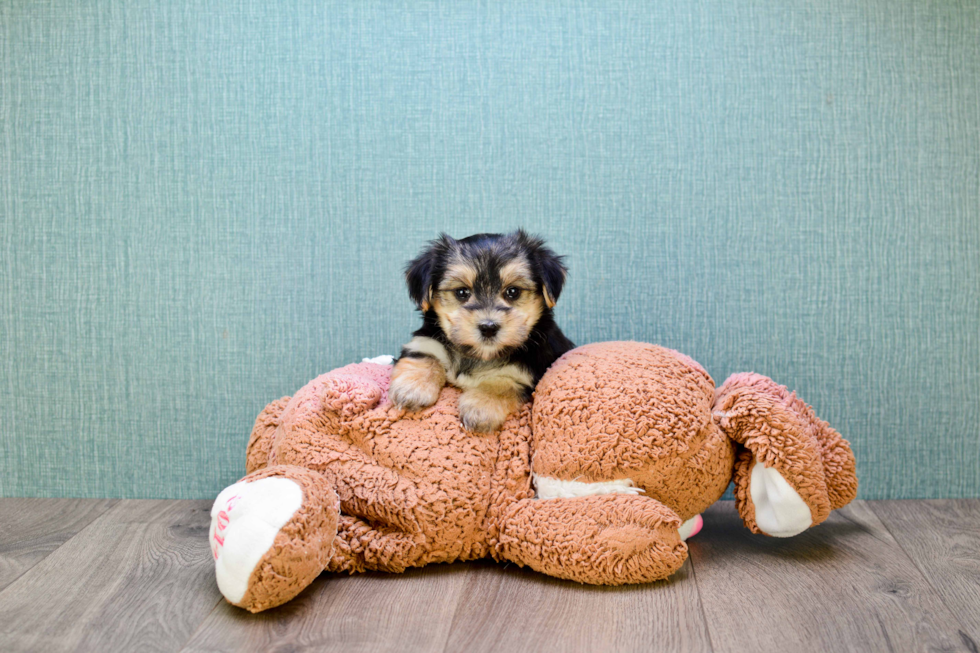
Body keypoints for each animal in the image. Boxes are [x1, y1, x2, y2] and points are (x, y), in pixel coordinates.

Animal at [388, 230, 576, 432]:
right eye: (462, 292)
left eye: (513, 291)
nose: (488, 327)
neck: (478, 356)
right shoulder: (426, 341)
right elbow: (425, 356)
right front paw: (412, 389)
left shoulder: (527, 372)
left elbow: (503, 382)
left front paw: (481, 408)